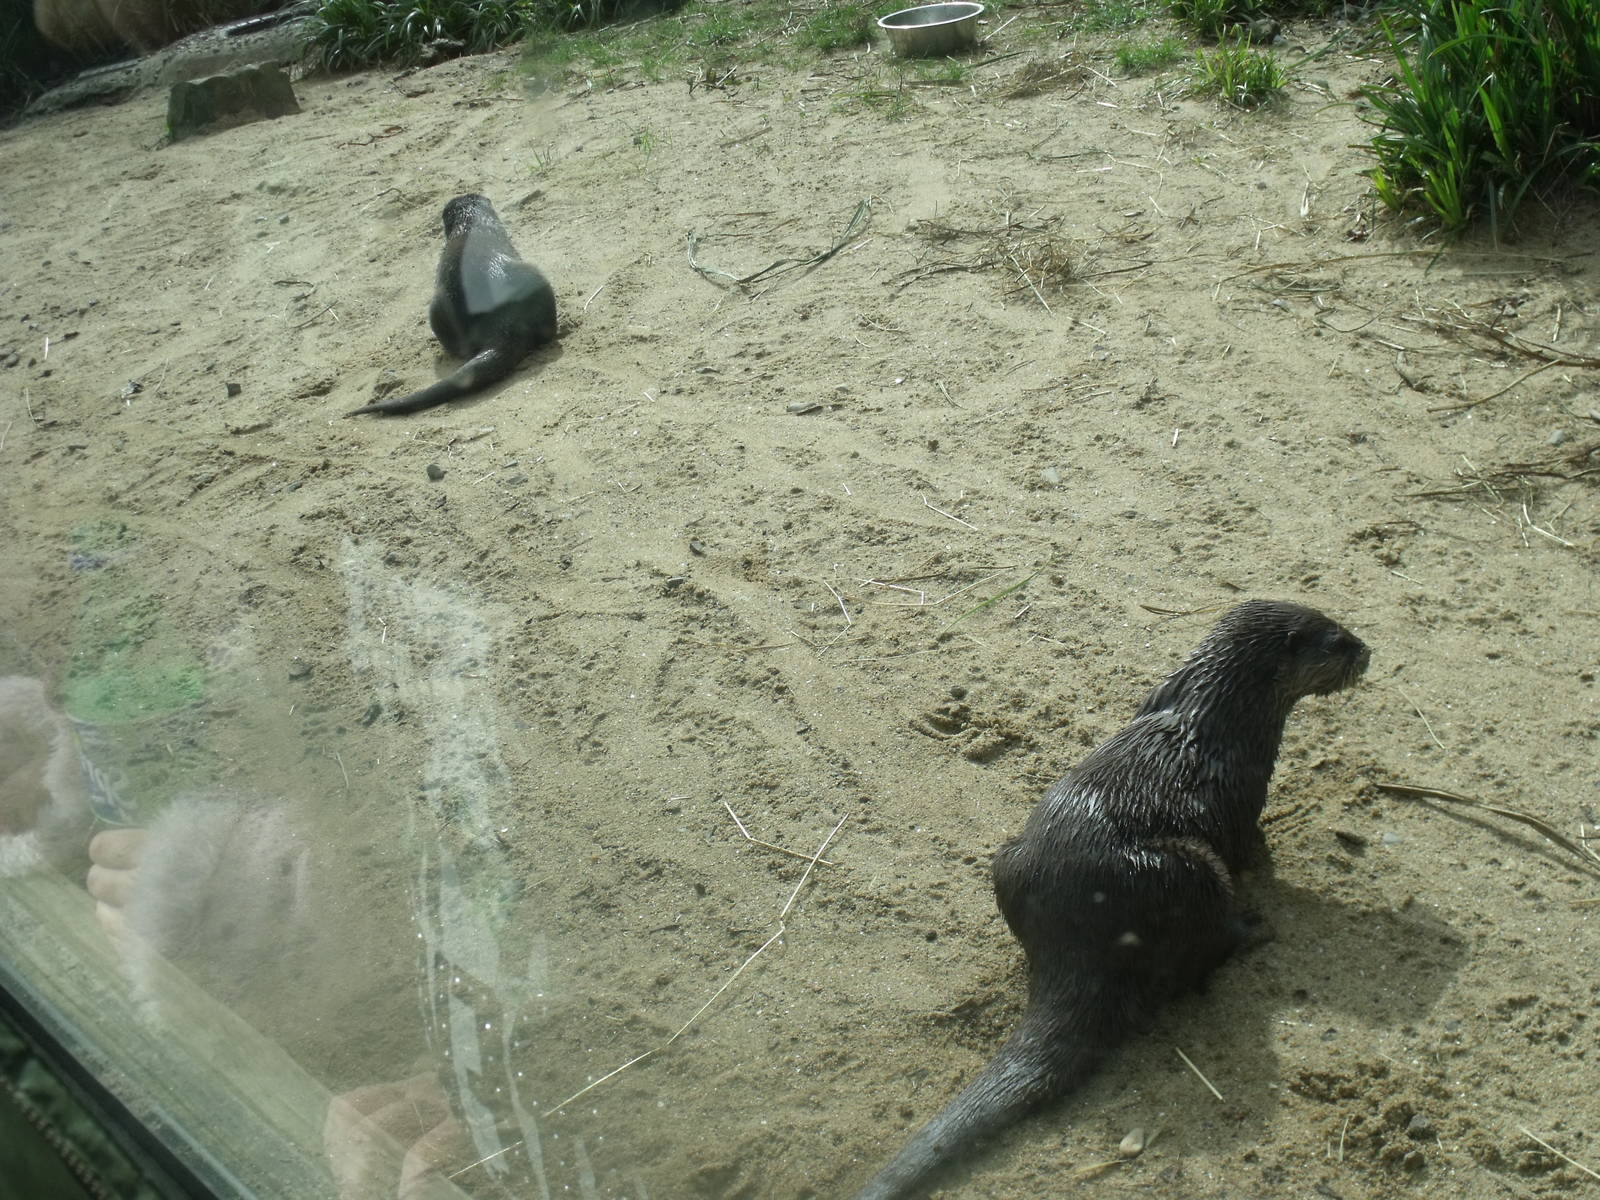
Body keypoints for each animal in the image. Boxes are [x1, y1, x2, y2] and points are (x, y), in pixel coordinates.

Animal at [853, 600, 1370, 1200]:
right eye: (1337, 640)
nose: (1366, 650)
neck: (1220, 718)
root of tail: (1081, 938)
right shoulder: (1243, 799)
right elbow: (1253, 848)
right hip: (1191, 869)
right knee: (1208, 942)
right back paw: (1254, 929)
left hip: (1007, 862)